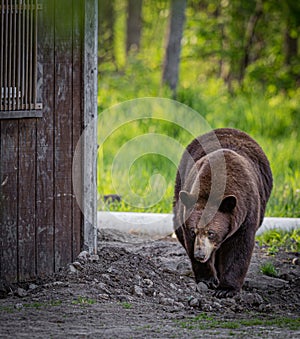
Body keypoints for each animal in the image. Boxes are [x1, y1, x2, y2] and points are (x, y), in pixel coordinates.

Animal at [172, 129, 274, 298]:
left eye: (211, 232)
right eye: (194, 231)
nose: (200, 255)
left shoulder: (247, 213)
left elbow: (238, 248)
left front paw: (226, 289)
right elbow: (188, 239)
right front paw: (208, 279)